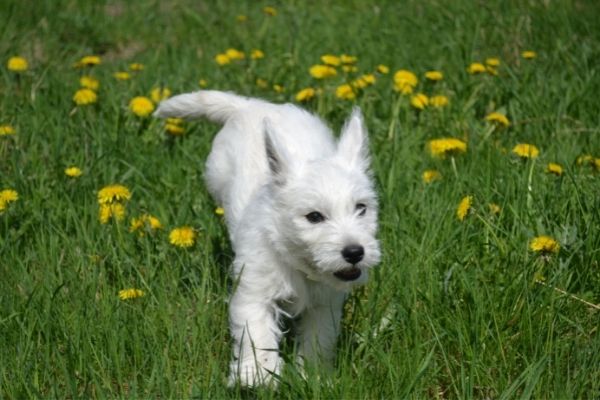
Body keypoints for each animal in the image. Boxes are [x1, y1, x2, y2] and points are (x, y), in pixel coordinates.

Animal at [155, 90, 380, 384]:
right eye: (314, 217)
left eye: (361, 208)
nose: (355, 252)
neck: (295, 261)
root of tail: (249, 105)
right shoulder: (254, 293)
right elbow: (256, 333)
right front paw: (256, 376)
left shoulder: (325, 304)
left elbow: (319, 339)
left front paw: (313, 377)